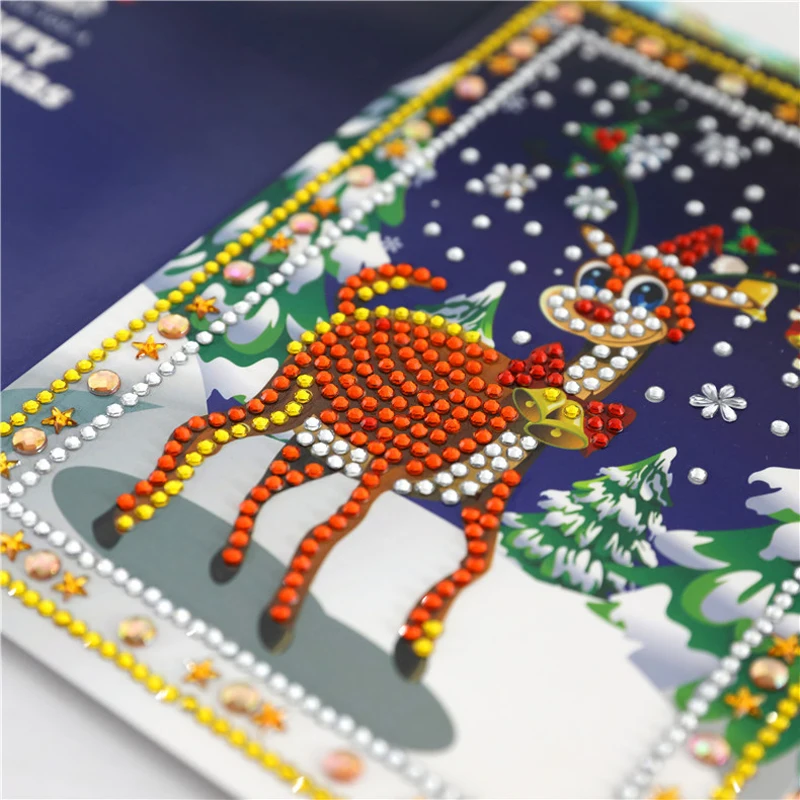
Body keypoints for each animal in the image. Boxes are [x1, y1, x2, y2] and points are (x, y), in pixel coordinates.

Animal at [93, 223, 774, 680]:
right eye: (598, 274)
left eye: (650, 295)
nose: (588, 307)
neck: (533, 406)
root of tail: (353, 309)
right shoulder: (387, 468)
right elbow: (326, 531)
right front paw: (279, 622)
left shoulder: (481, 505)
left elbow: (472, 566)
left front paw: (413, 646)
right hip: (291, 399)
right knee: (205, 432)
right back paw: (120, 519)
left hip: (320, 435)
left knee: (263, 479)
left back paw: (223, 558)